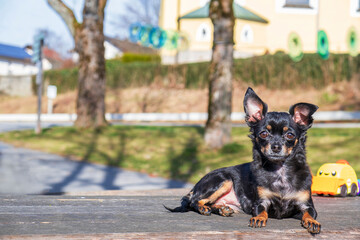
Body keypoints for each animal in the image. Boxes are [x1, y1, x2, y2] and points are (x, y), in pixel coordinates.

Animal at [165, 87, 320, 233]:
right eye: (263, 134)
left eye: (290, 135)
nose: (276, 146)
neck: (280, 172)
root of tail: (195, 187)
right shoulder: (261, 202)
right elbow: (261, 211)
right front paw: (258, 218)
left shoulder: (307, 204)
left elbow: (309, 214)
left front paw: (312, 222)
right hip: (223, 180)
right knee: (194, 201)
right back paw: (204, 208)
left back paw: (222, 209)